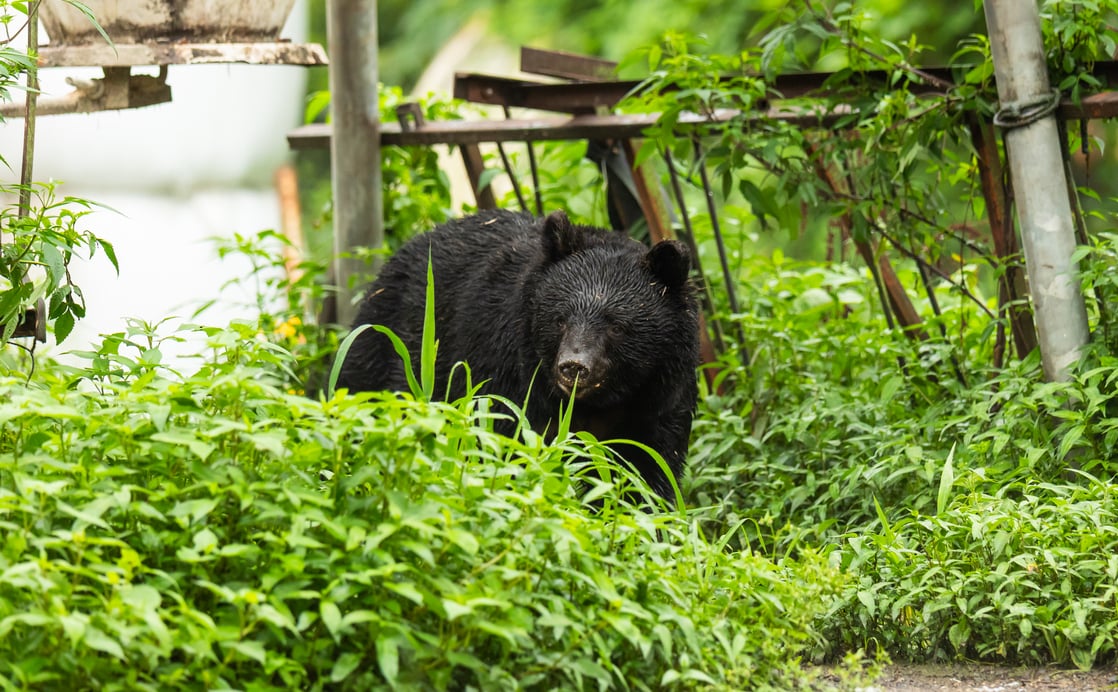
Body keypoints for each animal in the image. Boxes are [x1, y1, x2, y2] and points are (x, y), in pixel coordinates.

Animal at [336, 208, 701, 504]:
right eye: (560, 318)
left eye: (617, 326)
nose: (573, 367)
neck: (597, 403)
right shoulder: (507, 371)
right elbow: (508, 446)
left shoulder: (658, 398)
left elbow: (645, 471)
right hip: (387, 345)